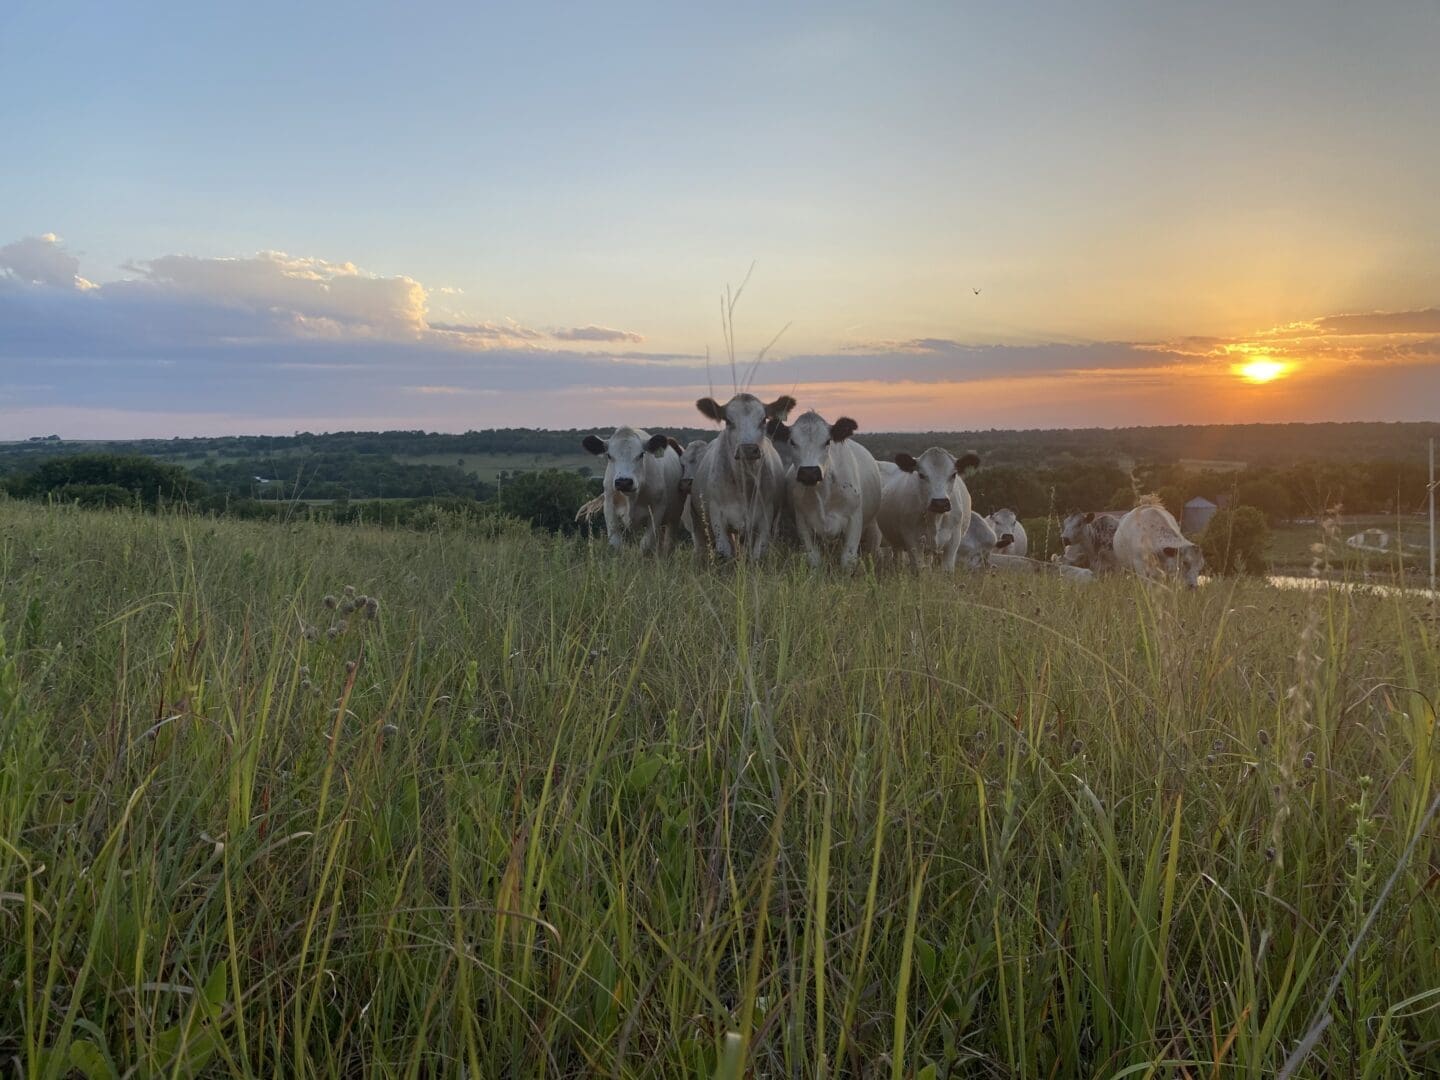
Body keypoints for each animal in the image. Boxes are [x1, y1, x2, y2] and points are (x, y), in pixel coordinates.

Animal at [688, 394, 794, 561]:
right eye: (728, 421)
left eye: (763, 419)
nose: (748, 449)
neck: (744, 484)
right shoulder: (717, 518)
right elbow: (726, 552)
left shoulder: (765, 519)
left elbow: (757, 554)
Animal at [771, 408, 881, 570]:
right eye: (792, 442)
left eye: (827, 441)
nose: (809, 472)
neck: (824, 493)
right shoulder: (803, 523)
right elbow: (814, 559)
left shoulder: (854, 520)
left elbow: (848, 560)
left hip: (873, 527)